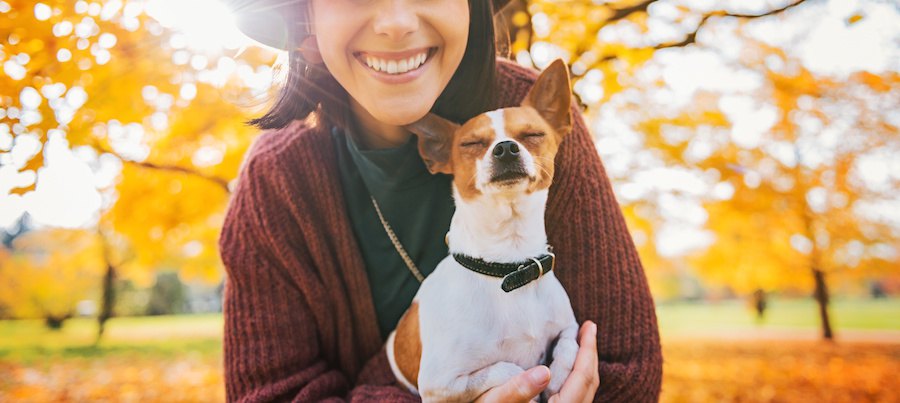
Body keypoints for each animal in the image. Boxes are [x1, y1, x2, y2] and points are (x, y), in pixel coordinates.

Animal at [384, 58, 576, 402]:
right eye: (471, 143)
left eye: (533, 134)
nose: (506, 148)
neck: (509, 266)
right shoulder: (441, 385)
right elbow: (510, 370)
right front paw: (535, 385)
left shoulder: (569, 326)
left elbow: (570, 343)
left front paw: (557, 377)